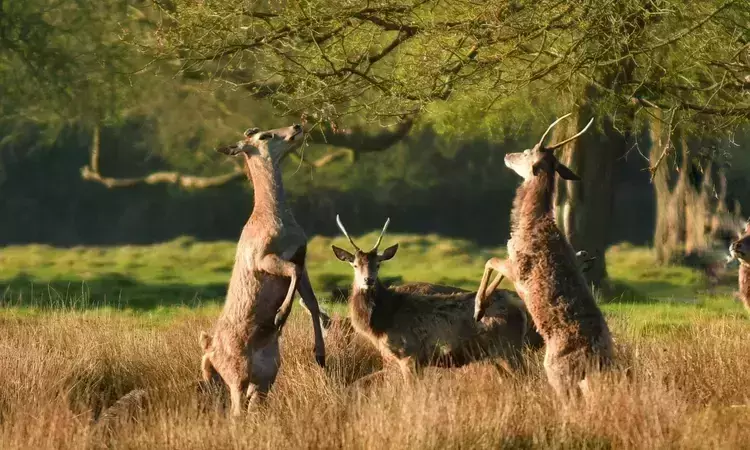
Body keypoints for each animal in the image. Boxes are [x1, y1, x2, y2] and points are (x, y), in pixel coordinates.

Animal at [198, 125, 328, 416]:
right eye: (264, 136)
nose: (296, 127)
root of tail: (209, 352)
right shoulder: (263, 259)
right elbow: (291, 271)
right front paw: (279, 317)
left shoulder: (302, 258)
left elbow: (311, 301)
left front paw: (321, 354)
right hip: (236, 375)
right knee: (236, 411)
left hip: (265, 380)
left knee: (251, 404)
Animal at [330, 214, 536, 380]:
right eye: (354, 265)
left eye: (378, 264)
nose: (369, 280)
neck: (382, 322)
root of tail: (520, 307)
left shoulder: (409, 354)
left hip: (508, 347)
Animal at [476, 114, 616, 402]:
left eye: (527, 152)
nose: (508, 154)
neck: (528, 224)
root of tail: (596, 359)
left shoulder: (518, 266)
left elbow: (489, 262)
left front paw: (478, 308)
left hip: (557, 370)